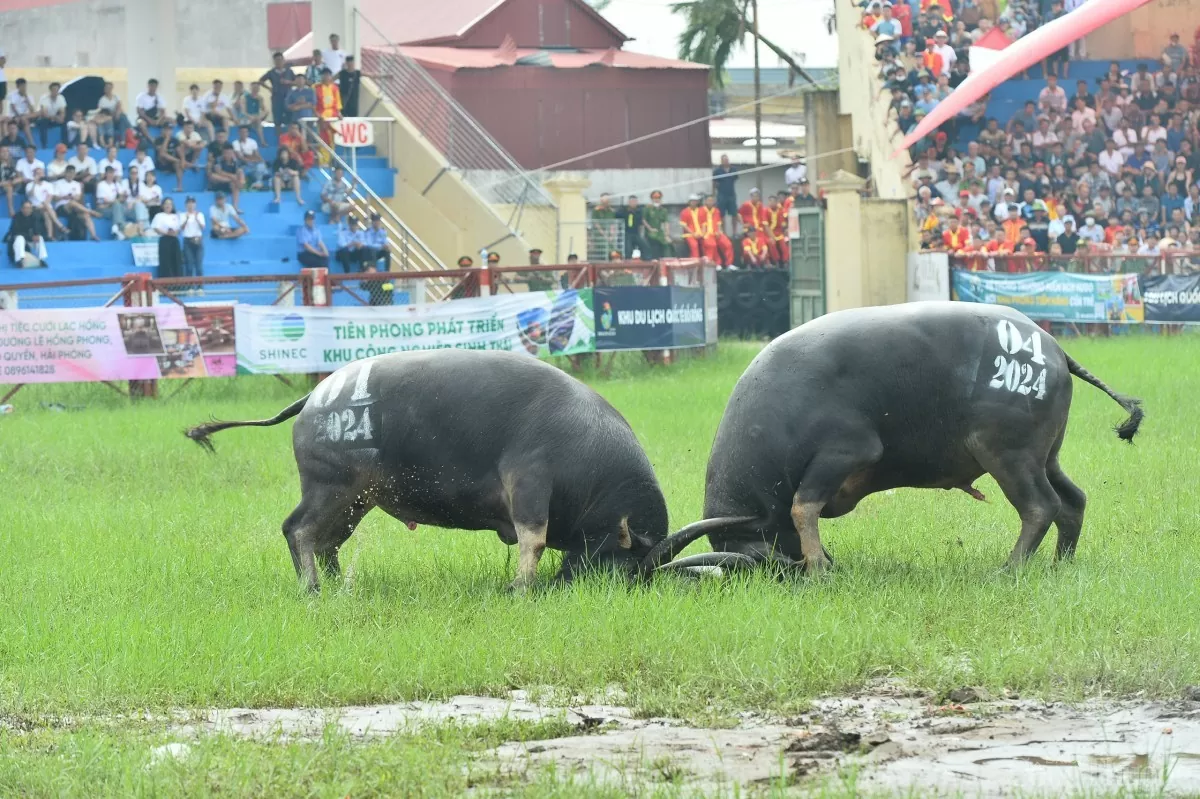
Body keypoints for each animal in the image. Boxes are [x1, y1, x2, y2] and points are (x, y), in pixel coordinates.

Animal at [182, 350, 724, 590]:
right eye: (628, 563)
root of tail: (316, 396)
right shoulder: (531, 482)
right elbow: (534, 538)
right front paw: (522, 588)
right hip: (328, 487)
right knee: (298, 530)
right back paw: (312, 589)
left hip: (355, 499)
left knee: (325, 540)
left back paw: (335, 585)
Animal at [648, 299, 1142, 573]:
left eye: (755, 559)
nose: (782, 576)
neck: (778, 412)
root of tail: (1052, 346)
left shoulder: (845, 453)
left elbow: (801, 507)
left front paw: (819, 569)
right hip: (1045, 455)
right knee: (1072, 500)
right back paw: (1060, 563)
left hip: (1006, 452)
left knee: (1041, 506)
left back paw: (1011, 568)